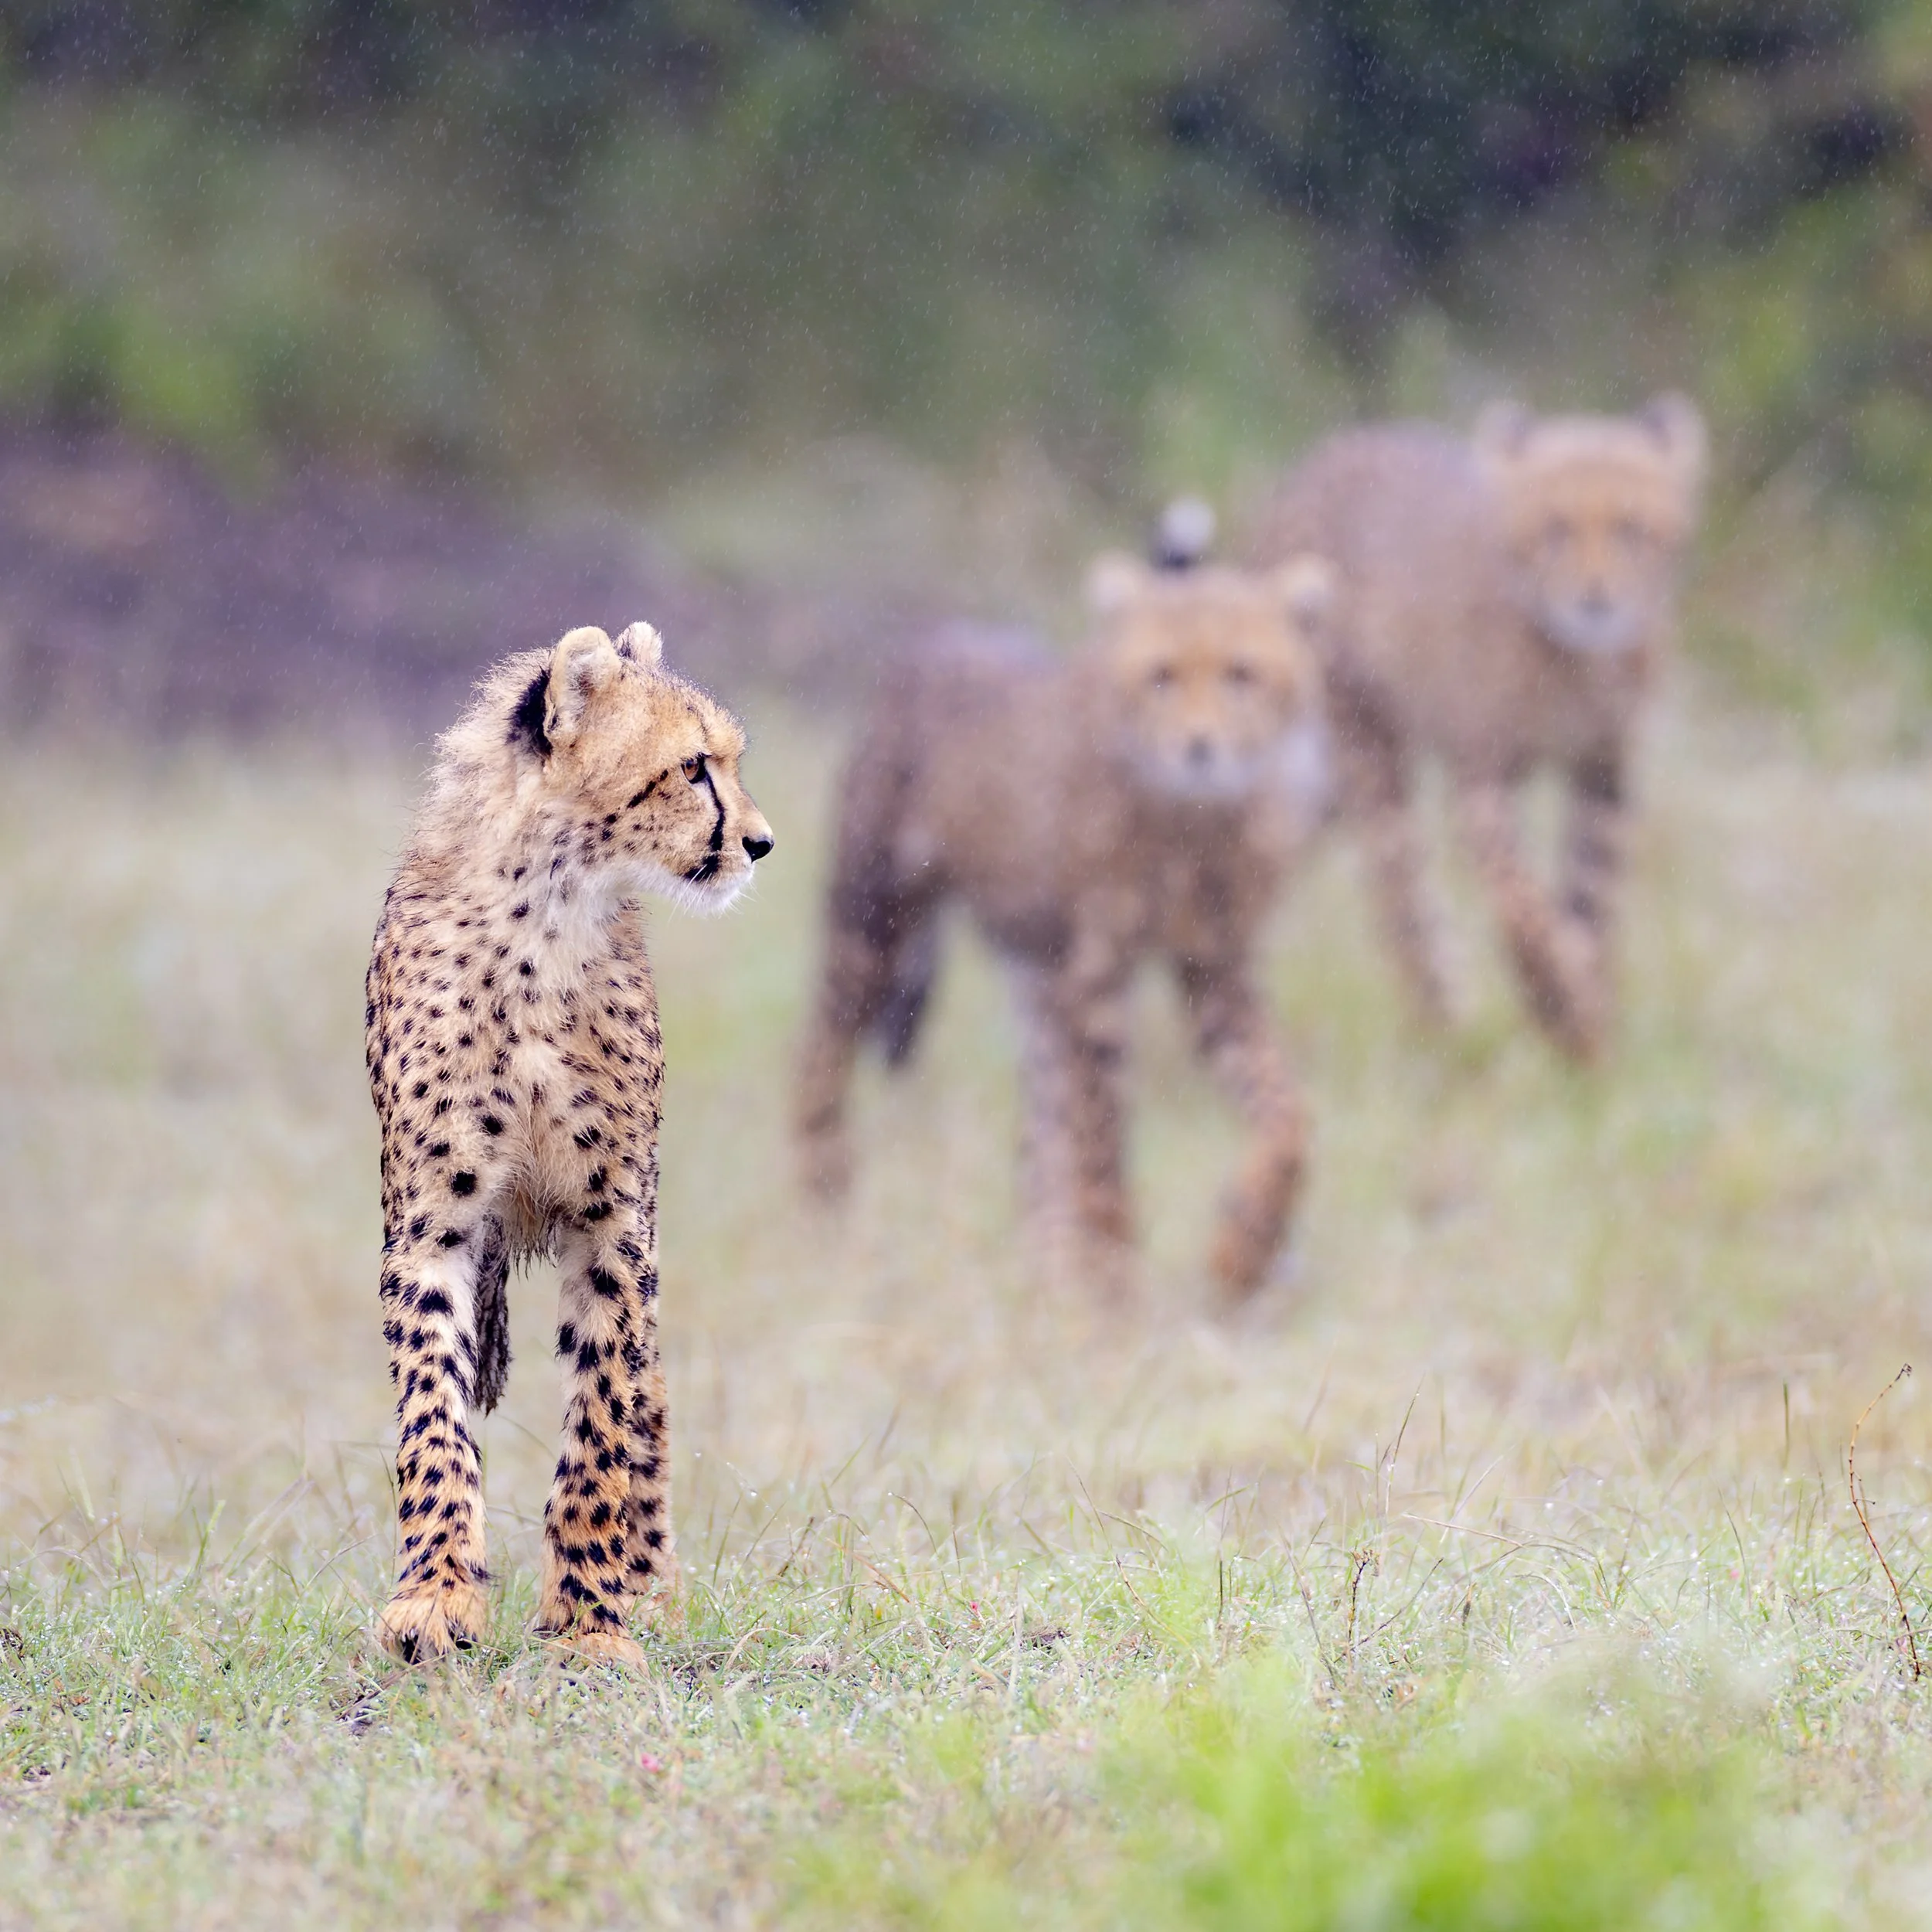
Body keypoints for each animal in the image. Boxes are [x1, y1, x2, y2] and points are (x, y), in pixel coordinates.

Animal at [365, 620, 773, 1665]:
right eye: (693, 767)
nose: (760, 842)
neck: (546, 908)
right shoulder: (433, 1224)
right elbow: (433, 1418)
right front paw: (435, 1597)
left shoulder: (613, 1222)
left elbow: (601, 1423)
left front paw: (589, 1621)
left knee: (649, 1401)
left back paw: (651, 1587)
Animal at [794, 550, 1334, 1302]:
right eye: (1161, 676)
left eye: (1241, 674)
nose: (1200, 749)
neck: (1190, 823)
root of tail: (937, 639)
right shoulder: (1097, 980)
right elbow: (1102, 1143)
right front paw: (1115, 1280)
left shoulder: (1214, 971)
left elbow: (1288, 1114)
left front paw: (1242, 1250)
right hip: (874, 923)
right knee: (817, 1056)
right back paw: (824, 1210)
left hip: (1038, 978)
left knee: (1041, 1135)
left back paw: (1047, 1278)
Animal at [1243, 394, 1707, 1060]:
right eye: (1556, 529)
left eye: (1631, 529)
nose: (1596, 599)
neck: (1578, 658)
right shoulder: (1484, 777)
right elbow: (1522, 900)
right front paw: (1559, 1000)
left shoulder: (1603, 768)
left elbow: (1590, 899)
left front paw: (1588, 1020)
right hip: (1367, 753)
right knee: (1405, 905)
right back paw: (1449, 1036)